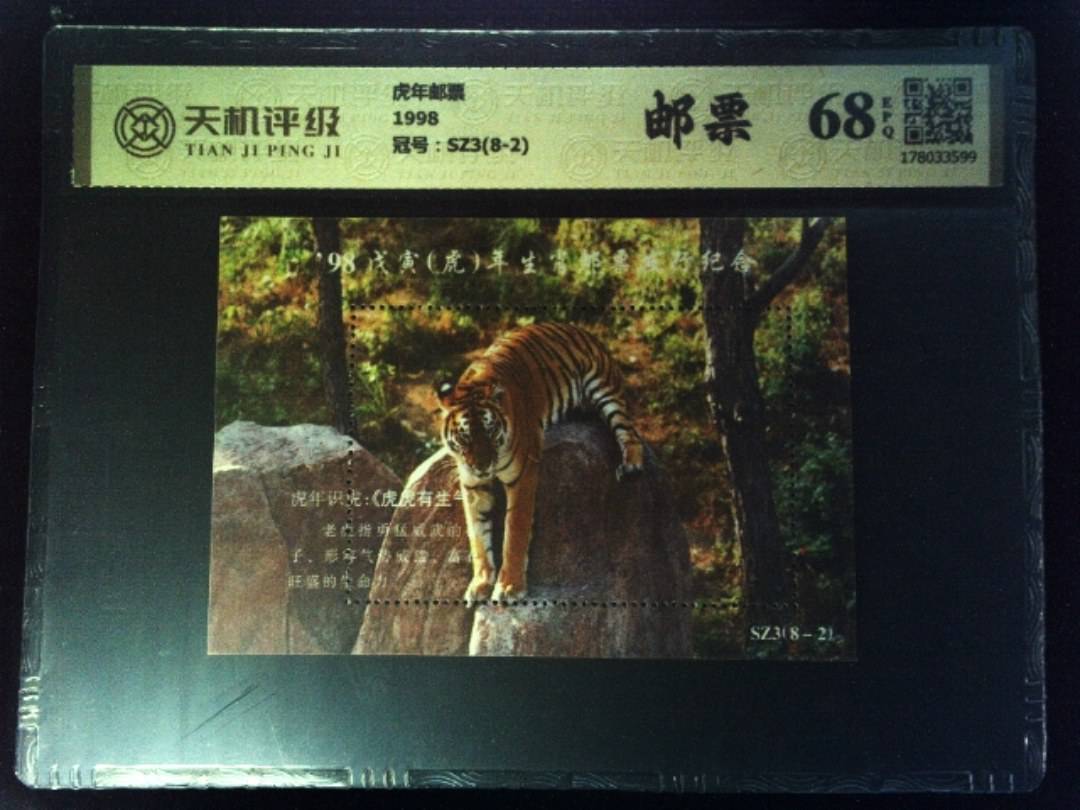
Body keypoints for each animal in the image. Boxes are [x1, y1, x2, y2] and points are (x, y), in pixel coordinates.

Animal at [436, 322, 644, 604]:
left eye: (490, 431)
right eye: (465, 436)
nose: (482, 466)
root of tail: (577, 328)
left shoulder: (522, 475)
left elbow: (515, 532)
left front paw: (509, 587)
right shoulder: (472, 484)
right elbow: (477, 535)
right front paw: (480, 583)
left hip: (605, 389)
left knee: (629, 430)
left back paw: (631, 465)